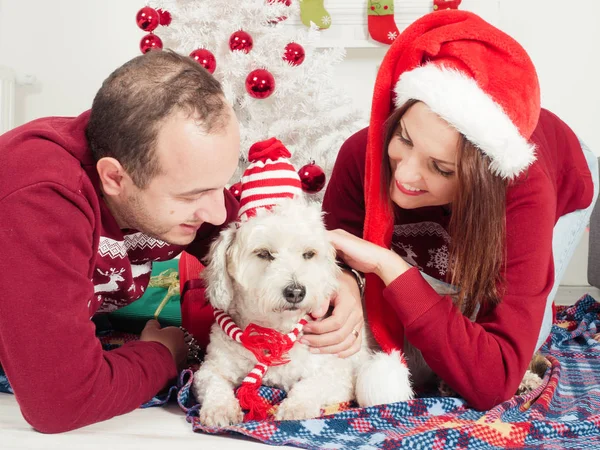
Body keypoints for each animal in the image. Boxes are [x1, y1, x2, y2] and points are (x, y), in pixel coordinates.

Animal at [192, 200, 412, 426]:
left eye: (308, 254)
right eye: (263, 253)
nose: (296, 292)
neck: (273, 333)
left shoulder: (339, 377)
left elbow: (311, 384)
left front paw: (296, 407)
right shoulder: (209, 369)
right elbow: (214, 383)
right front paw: (220, 408)